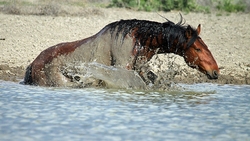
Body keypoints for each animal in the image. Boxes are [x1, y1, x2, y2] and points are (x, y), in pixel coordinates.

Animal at [23, 15, 219, 88]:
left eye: (206, 46)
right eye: (197, 48)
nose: (215, 71)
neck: (139, 40)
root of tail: (33, 64)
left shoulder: (141, 67)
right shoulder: (123, 68)